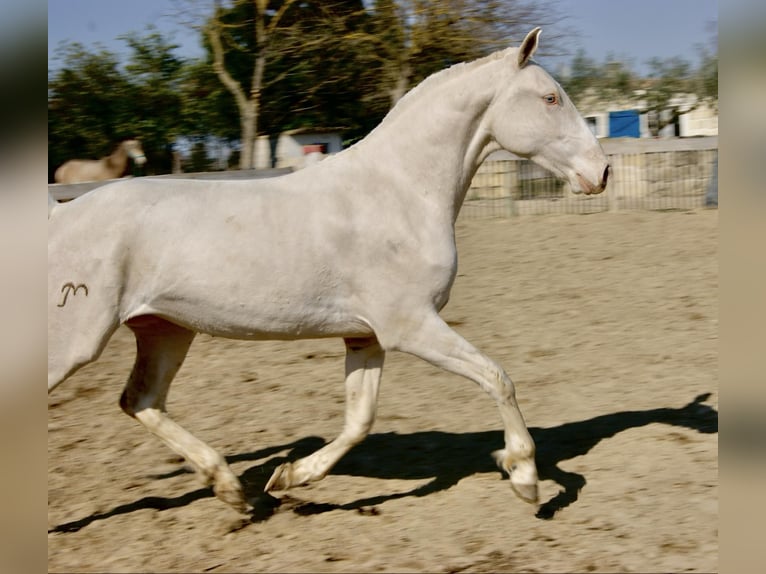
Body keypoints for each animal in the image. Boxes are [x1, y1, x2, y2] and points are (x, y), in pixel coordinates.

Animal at [48, 30, 612, 516]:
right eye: (550, 98)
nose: (602, 172)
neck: (400, 191)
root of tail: (60, 216)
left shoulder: (367, 337)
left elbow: (359, 420)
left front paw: (288, 478)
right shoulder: (411, 326)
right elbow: (499, 379)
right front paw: (524, 477)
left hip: (165, 330)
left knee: (140, 401)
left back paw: (232, 489)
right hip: (77, 343)